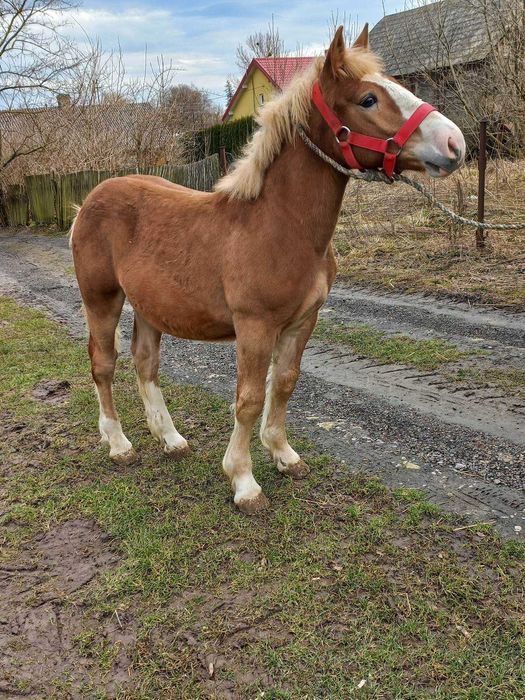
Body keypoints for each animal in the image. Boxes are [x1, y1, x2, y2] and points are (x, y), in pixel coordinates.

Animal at [70, 26, 462, 516]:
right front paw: (244, 481)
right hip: (101, 299)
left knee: (146, 363)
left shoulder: (302, 321)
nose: (454, 144)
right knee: (103, 364)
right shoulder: (255, 326)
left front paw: (284, 455)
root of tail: (87, 203)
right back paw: (119, 444)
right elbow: (250, 399)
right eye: (368, 99)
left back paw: (171, 438)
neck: (280, 224)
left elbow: (286, 384)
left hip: (149, 306)